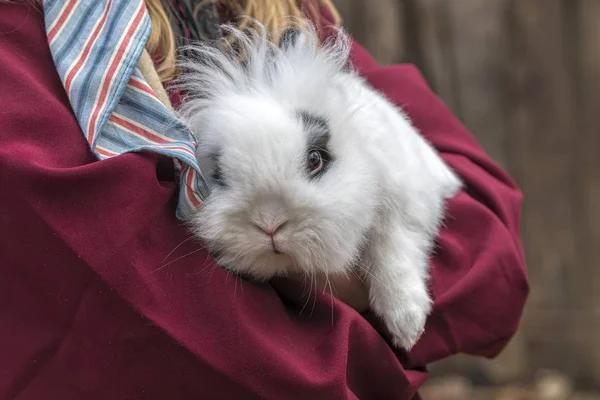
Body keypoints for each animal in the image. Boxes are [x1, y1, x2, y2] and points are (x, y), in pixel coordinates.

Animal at [176, 23, 462, 348]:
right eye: (219, 173)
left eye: (315, 159)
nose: (270, 223)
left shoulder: (406, 203)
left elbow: (394, 248)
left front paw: (407, 325)